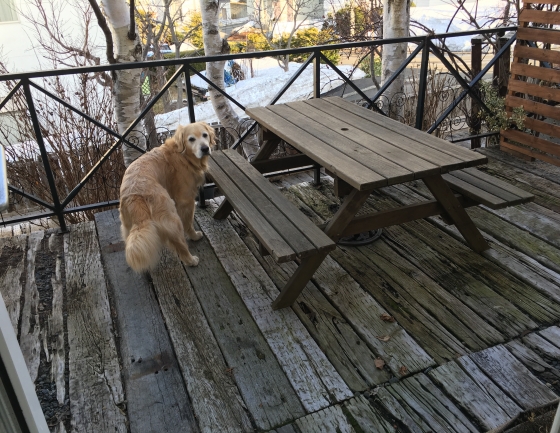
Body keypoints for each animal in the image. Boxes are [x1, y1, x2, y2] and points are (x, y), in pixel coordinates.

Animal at [119, 122, 214, 272]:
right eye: (191, 139)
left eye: (205, 135)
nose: (205, 148)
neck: (183, 155)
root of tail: (135, 195)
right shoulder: (186, 201)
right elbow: (188, 223)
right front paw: (194, 236)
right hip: (172, 219)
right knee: (180, 245)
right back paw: (191, 260)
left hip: (128, 227)